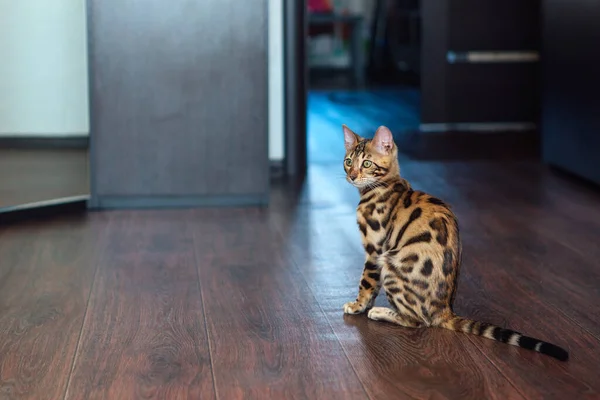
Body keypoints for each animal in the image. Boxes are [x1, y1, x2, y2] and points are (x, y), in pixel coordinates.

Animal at [342, 125, 568, 362]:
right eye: (348, 161)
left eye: (367, 163)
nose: (352, 175)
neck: (384, 185)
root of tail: (445, 310)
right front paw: (363, 305)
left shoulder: (375, 250)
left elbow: (366, 282)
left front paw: (358, 305)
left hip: (390, 263)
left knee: (418, 321)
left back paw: (381, 313)